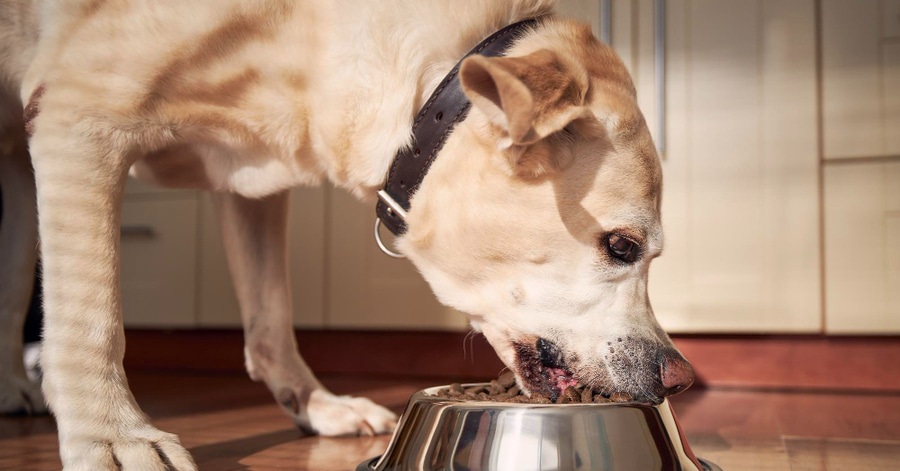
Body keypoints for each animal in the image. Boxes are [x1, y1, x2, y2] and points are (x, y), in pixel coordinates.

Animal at [0, 0, 696, 468]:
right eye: (622, 246)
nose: (680, 379)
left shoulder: (252, 183)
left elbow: (271, 320)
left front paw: (314, 404)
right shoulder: (79, 120)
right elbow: (92, 321)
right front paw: (112, 437)